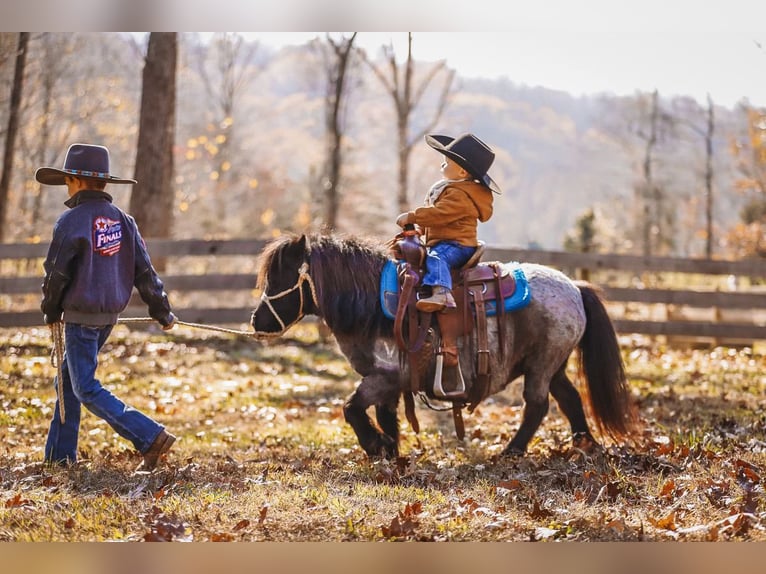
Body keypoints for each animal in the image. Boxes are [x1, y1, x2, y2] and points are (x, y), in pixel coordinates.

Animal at [250, 232, 636, 462]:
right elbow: (385, 416)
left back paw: (511, 451)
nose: (257, 322)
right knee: (569, 399)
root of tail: (575, 287)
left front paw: (376, 446)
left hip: (542, 364)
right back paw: (584, 445)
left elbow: (351, 408)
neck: (374, 303)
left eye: (281, 279)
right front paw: (392, 450)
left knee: (537, 406)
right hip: (551, 365)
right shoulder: (391, 381)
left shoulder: (383, 377)